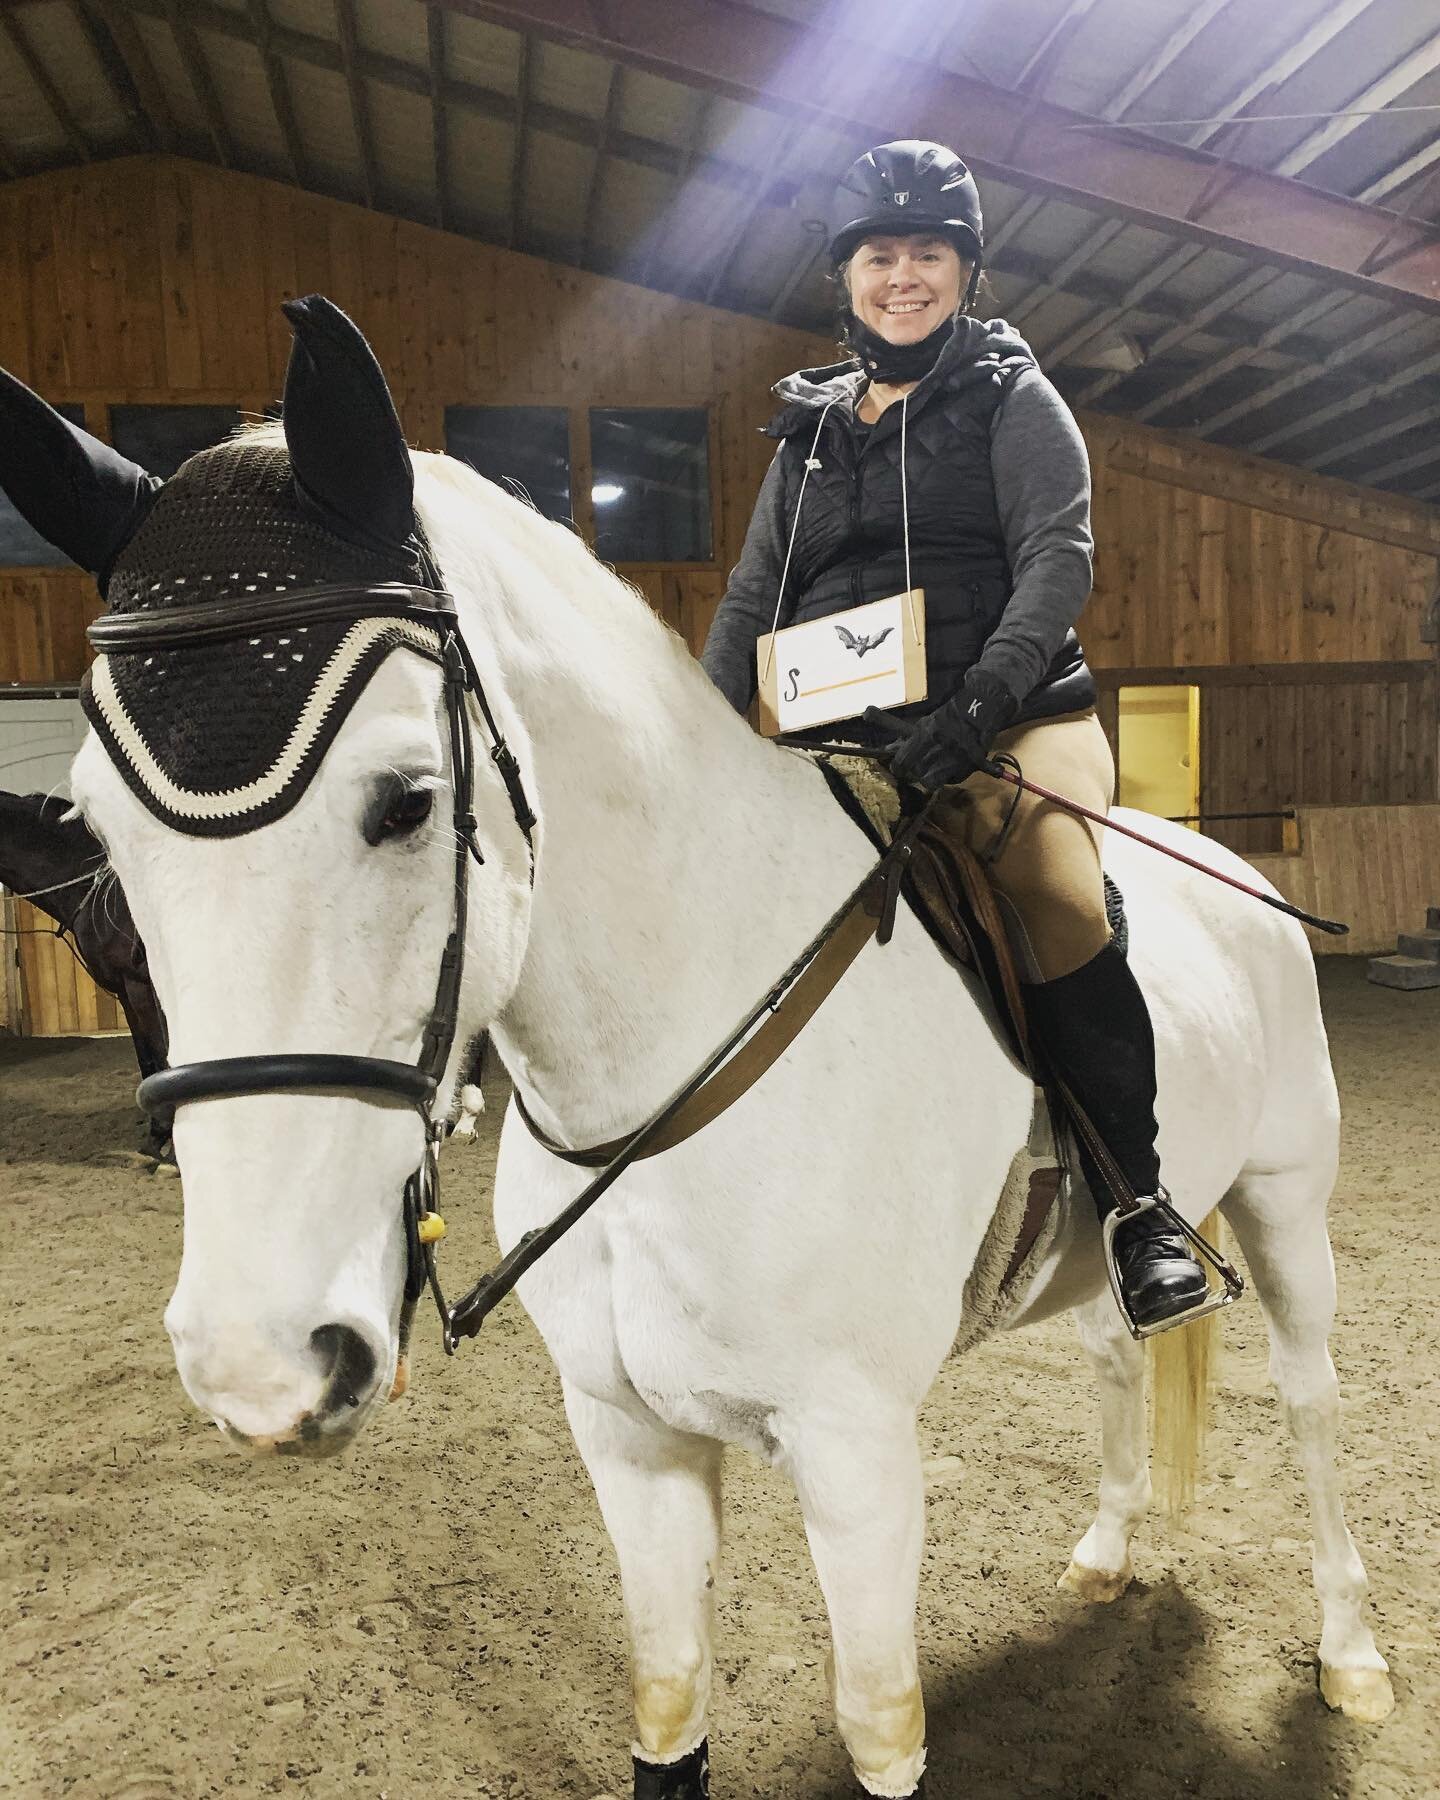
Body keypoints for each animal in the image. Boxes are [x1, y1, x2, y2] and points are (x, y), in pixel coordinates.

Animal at [70, 412, 1396, 1800]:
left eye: (407, 801)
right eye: (96, 829)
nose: (253, 1364)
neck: (670, 1082)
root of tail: (1233, 865)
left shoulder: (858, 1456)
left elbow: (878, 1723)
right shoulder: (626, 1440)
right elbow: (667, 1706)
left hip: (1285, 1207)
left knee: (1311, 1400)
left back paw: (1351, 1657)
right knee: (1116, 1353)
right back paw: (1104, 1552)